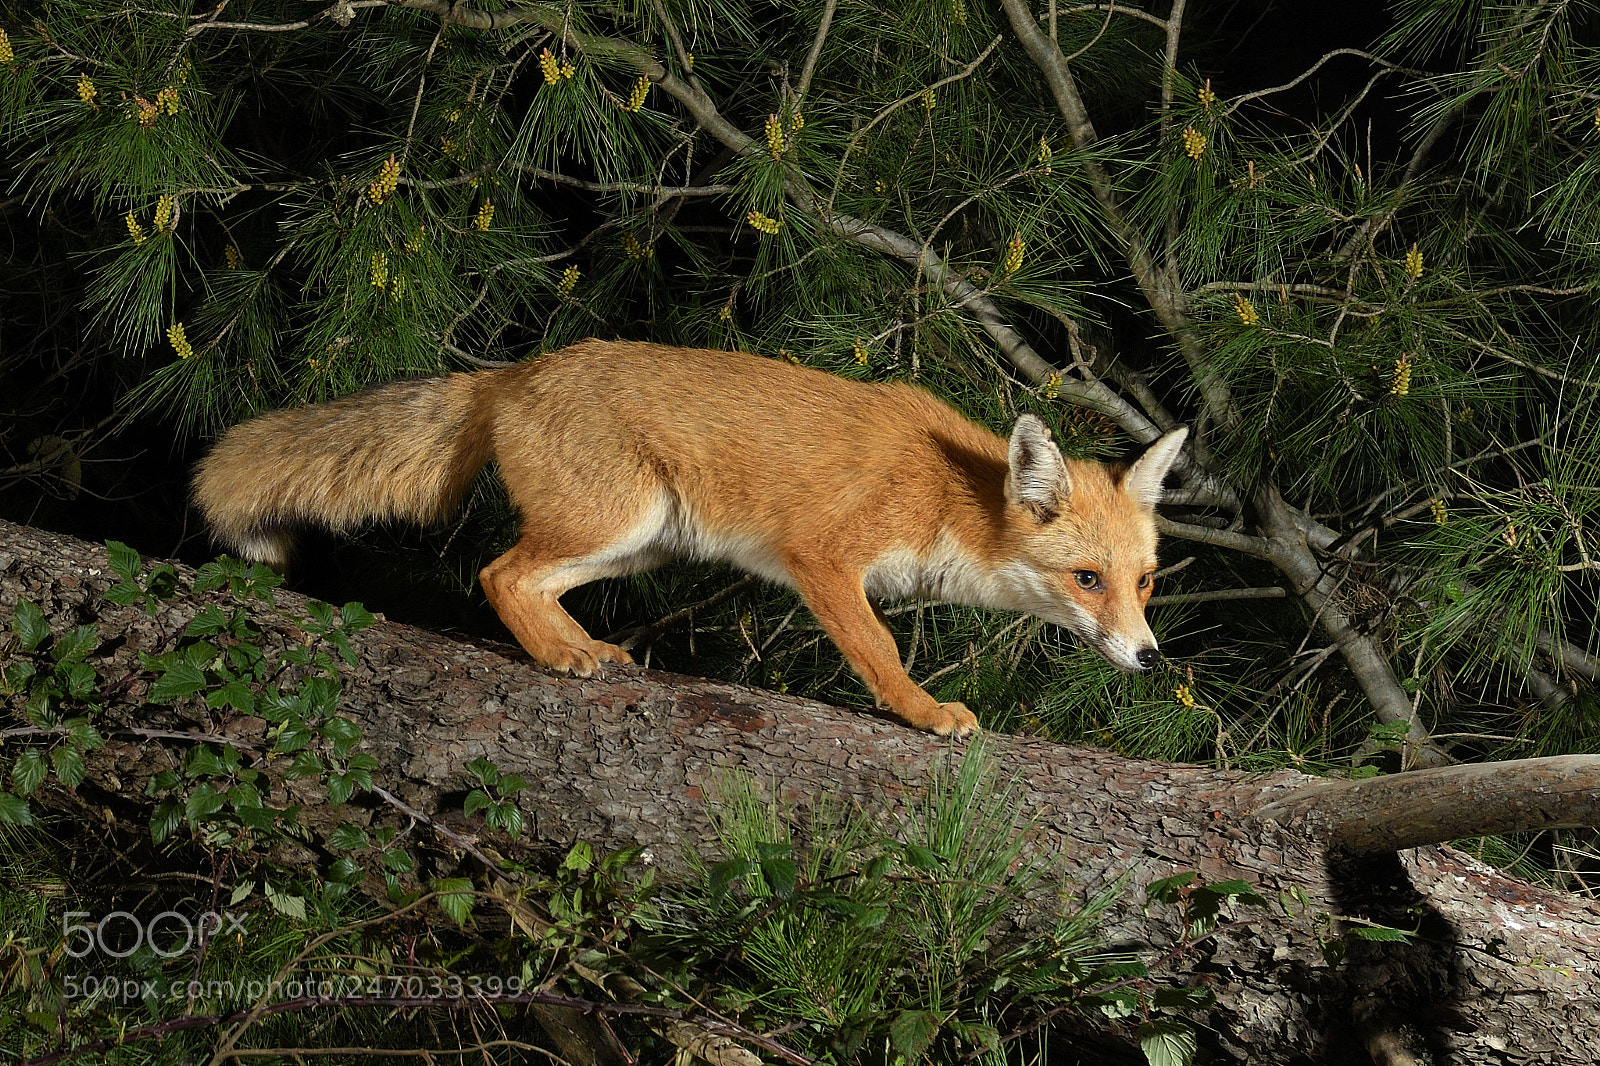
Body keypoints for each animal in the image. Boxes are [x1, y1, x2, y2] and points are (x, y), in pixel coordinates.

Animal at [194, 339, 1187, 737]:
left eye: (1143, 581)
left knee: (529, 583)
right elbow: (881, 648)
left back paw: (581, 647)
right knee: (496, 573)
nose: (1150, 657)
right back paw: (561, 657)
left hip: (641, 543)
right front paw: (919, 710)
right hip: (613, 521)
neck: (951, 497)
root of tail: (514, 371)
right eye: (1088, 578)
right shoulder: (823, 556)